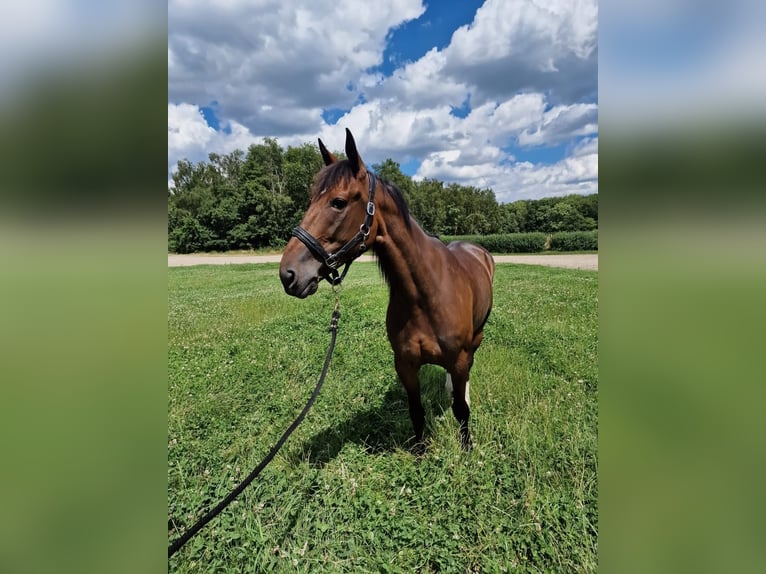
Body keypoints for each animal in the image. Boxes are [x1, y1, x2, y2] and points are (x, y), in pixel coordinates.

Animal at [280, 130, 496, 454]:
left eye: (338, 202)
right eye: (310, 198)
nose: (288, 274)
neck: (426, 296)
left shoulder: (458, 359)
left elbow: (461, 410)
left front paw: (466, 447)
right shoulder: (405, 365)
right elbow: (416, 412)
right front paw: (419, 453)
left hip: (477, 337)